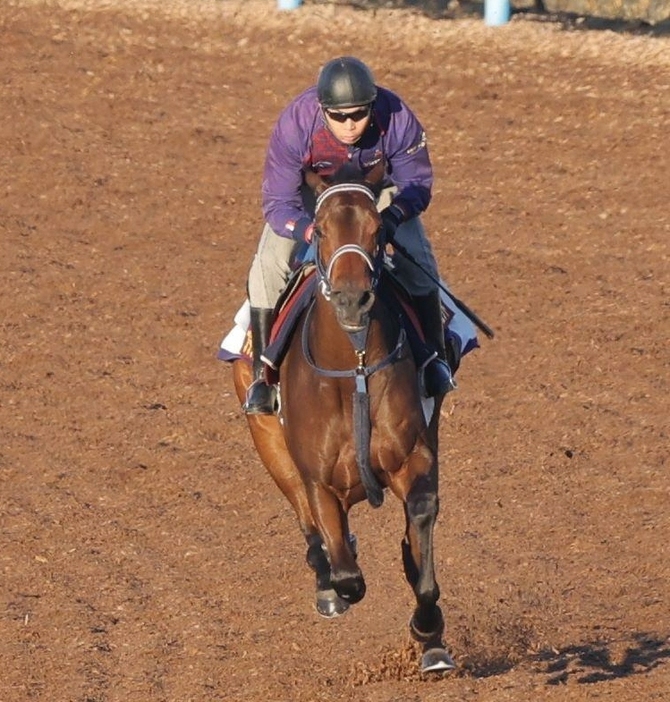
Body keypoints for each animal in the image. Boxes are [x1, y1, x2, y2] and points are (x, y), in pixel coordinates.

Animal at [232, 165, 456, 676]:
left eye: (378, 230)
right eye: (321, 230)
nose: (353, 299)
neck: (352, 365)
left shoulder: (413, 456)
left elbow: (421, 519)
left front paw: (428, 630)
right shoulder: (319, 479)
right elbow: (348, 572)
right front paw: (339, 578)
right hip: (269, 442)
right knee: (308, 523)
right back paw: (327, 580)